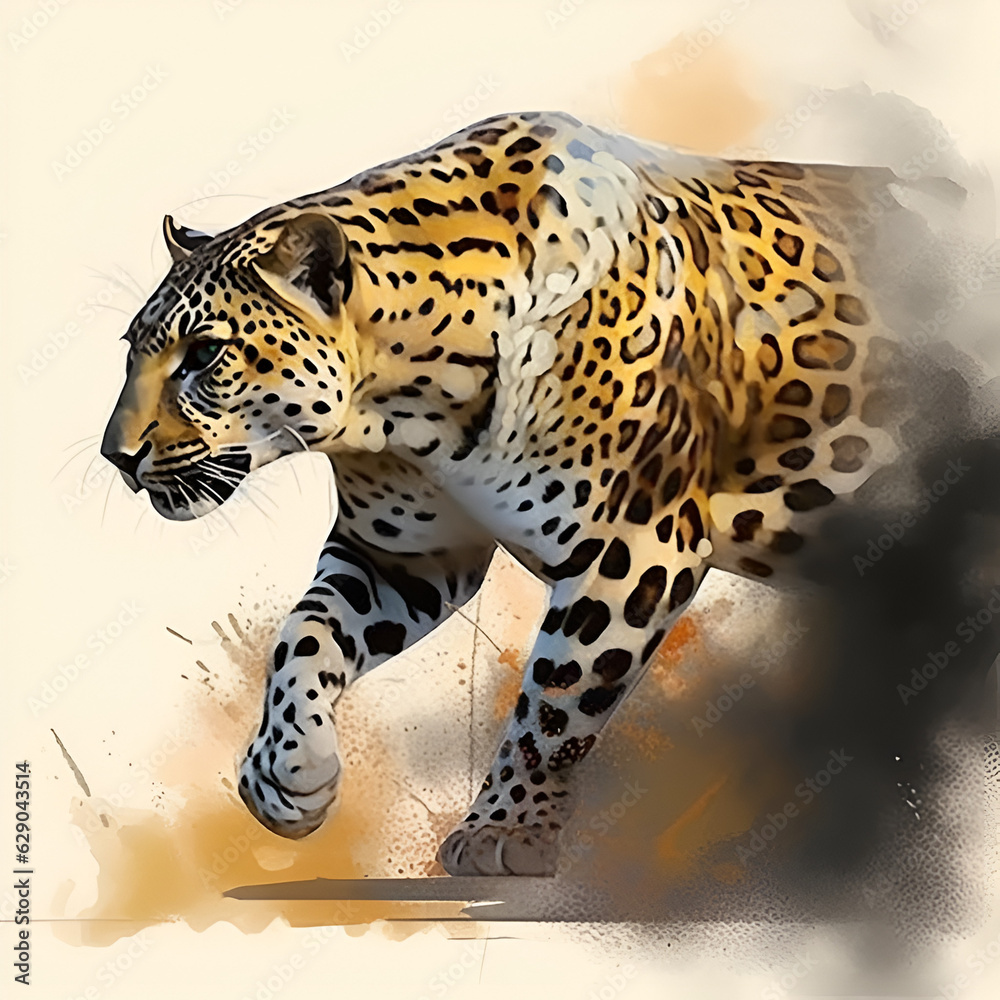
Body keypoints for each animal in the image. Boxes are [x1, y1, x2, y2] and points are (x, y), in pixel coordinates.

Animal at [101, 110, 924, 876]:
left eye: (205, 355)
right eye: (132, 350)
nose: (118, 456)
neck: (403, 409)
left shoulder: (632, 546)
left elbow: (555, 700)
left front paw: (505, 829)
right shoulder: (404, 555)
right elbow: (301, 636)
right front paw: (283, 771)